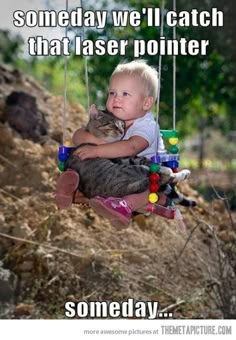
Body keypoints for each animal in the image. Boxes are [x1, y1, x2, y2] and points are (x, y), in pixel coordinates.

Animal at [64, 106, 195, 207]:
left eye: (122, 124)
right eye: (112, 124)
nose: (122, 131)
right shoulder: (127, 158)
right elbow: (146, 161)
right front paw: (164, 168)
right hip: (135, 170)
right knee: (161, 177)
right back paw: (179, 172)